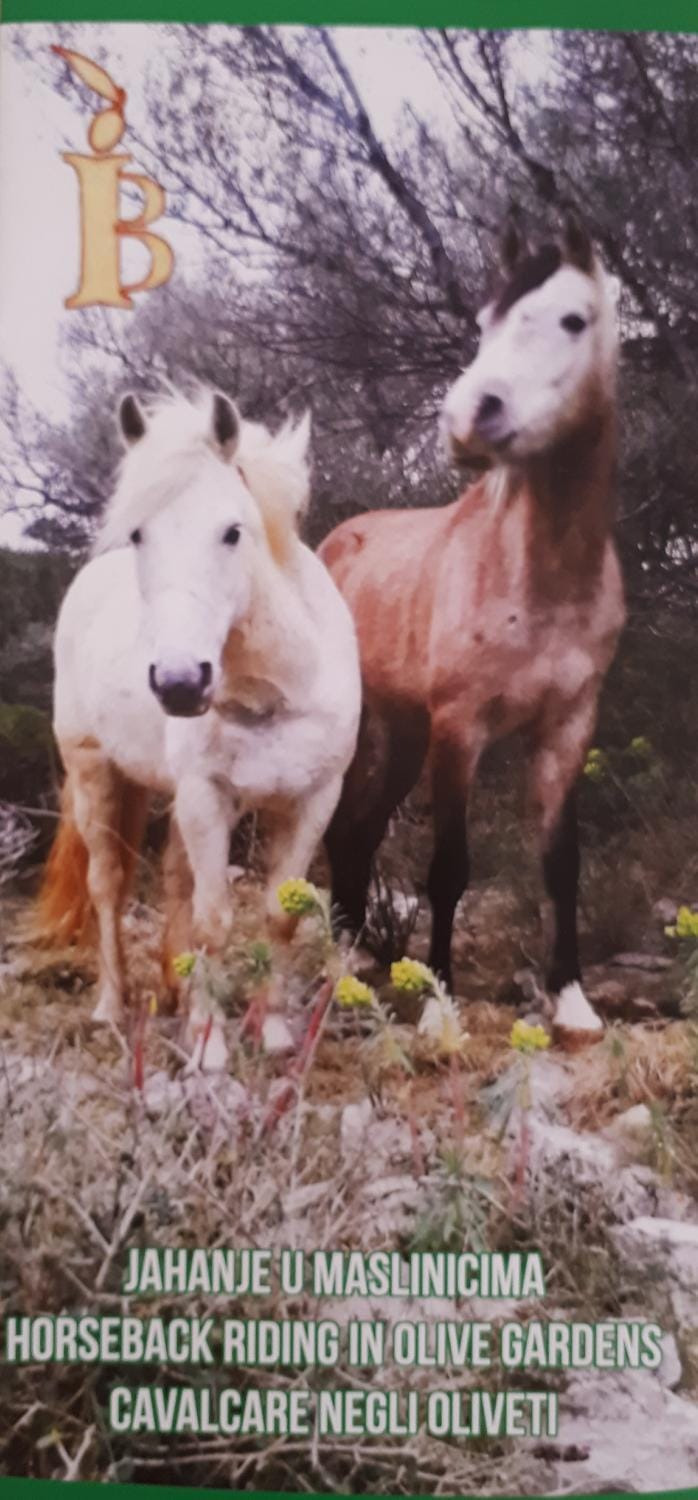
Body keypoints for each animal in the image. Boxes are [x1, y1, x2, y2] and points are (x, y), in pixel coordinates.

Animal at [37, 388, 361, 1064]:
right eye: (139, 533)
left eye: (232, 532)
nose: (181, 682)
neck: (276, 689)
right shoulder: (207, 798)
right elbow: (214, 920)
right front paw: (210, 1045)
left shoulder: (313, 801)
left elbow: (277, 916)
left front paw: (270, 1031)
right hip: (96, 775)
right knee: (107, 886)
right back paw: (113, 1005)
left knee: (172, 882)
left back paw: (174, 990)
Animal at [319, 215, 625, 1049]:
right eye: (486, 323)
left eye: (573, 319)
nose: (466, 417)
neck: (538, 574)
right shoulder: (461, 730)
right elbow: (449, 867)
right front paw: (440, 1003)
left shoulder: (567, 726)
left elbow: (561, 862)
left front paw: (572, 1002)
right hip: (361, 730)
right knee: (336, 829)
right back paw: (332, 959)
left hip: (400, 733)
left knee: (356, 833)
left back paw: (349, 958)